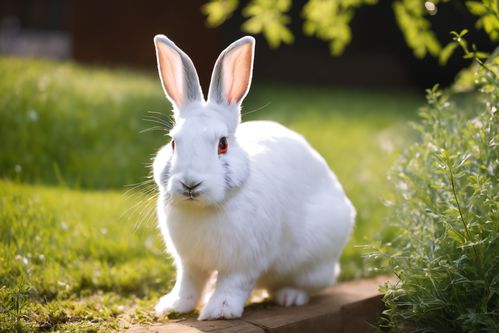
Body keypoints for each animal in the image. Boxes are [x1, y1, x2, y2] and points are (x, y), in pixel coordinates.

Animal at [152, 33, 356, 320]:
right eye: (173, 142)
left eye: (223, 144)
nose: (190, 183)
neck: (205, 209)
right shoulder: (190, 263)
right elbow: (189, 284)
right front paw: (173, 306)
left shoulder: (244, 262)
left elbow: (232, 284)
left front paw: (219, 311)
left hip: (314, 263)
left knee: (306, 285)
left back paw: (289, 297)